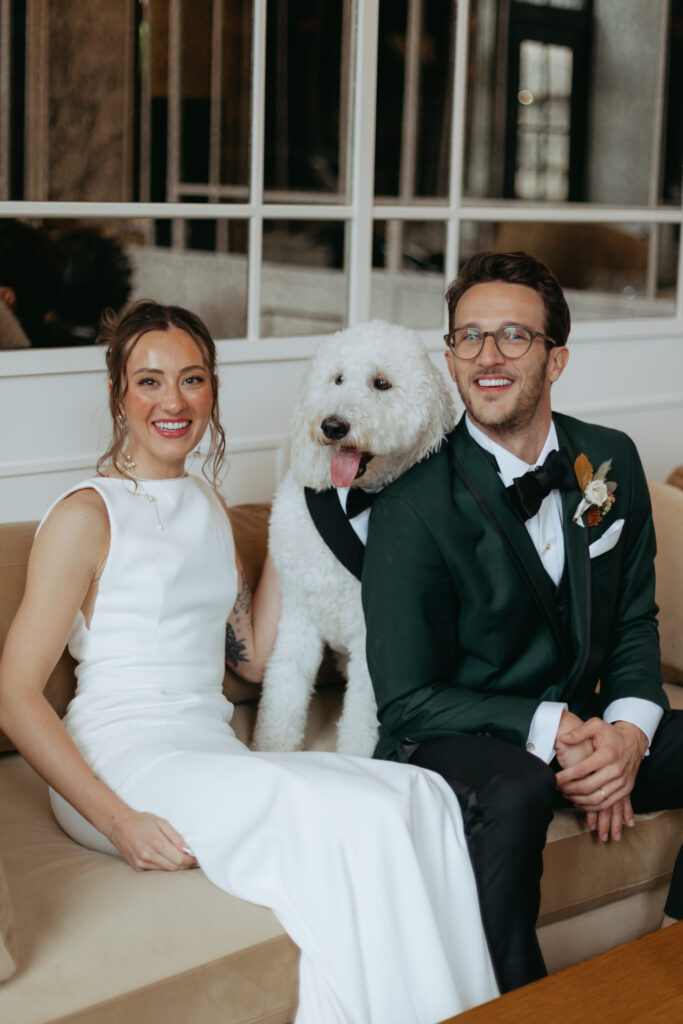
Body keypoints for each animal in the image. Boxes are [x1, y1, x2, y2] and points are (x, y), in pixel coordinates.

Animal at [250, 323, 454, 757]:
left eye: (381, 383)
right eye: (337, 378)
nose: (332, 426)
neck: (354, 501)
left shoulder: (373, 644)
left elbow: (362, 716)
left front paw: (355, 762)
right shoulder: (299, 614)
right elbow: (284, 688)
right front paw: (272, 749)